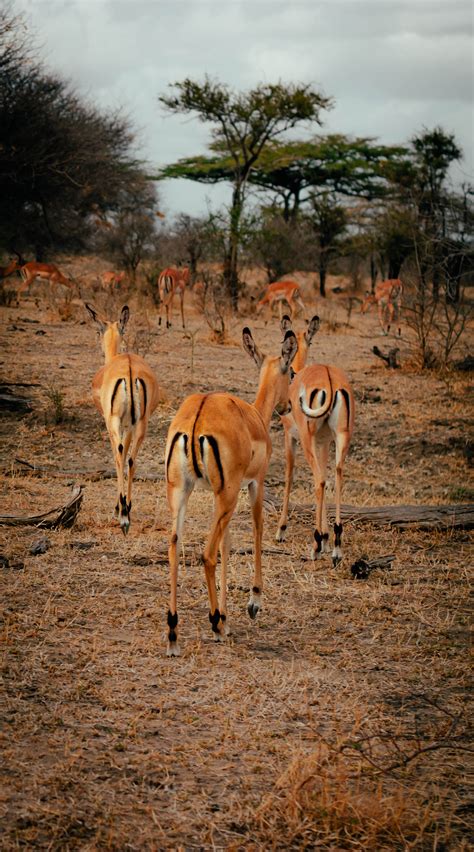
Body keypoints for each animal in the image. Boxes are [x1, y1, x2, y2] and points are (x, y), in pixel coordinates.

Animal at [87, 304, 163, 532]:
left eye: (97, 331)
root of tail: (129, 370)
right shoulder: (129, 425)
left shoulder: (112, 424)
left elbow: (115, 456)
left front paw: (117, 508)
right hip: (141, 425)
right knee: (131, 459)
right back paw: (127, 509)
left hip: (114, 423)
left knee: (121, 457)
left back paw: (123, 516)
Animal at [163, 322, 296, 656]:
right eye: (292, 372)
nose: (288, 405)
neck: (255, 417)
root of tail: (197, 417)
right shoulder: (254, 484)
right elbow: (257, 530)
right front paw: (252, 603)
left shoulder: (218, 495)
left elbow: (228, 544)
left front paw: (226, 615)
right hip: (227, 496)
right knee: (207, 554)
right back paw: (215, 626)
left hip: (181, 492)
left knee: (174, 546)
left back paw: (173, 633)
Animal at [276, 312, 354, 564]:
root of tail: (330, 379)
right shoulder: (325, 442)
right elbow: (327, 477)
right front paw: (327, 537)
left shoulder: (291, 437)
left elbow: (289, 476)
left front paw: (281, 530)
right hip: (342, 438)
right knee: (336, 475)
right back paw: (337, 545)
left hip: (306, 439)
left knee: (318, 480)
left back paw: (316, 545)